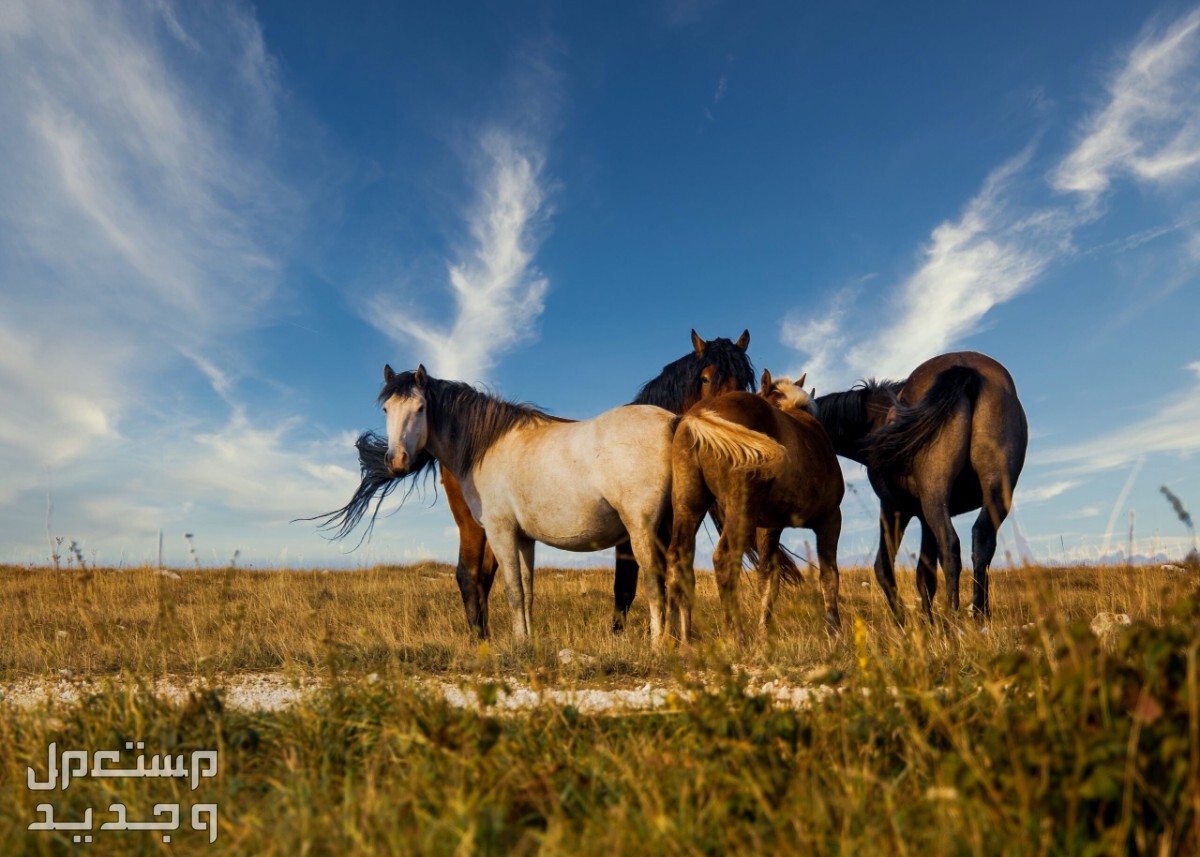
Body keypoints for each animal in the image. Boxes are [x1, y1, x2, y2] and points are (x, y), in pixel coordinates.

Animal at [667, 367, 844, 643]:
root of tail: (699, 415)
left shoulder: (769, 528)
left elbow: (768, 580)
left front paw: (763, 633)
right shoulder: (831, 520)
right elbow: (829, 576)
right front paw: (835, 632)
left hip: (688, 506)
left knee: (678, 559)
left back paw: (681, 639)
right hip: (739, 510)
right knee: (725, 560)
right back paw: (735, 636)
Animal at [820, 350, 1027, 619]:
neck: (877, 419)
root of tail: (965, 369)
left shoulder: (896, 508)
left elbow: (886, 568)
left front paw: (905, 621)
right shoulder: (922, 518)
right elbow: (924, 574)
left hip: (934, 497)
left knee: (950, 547)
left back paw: (952, 617)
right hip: (995, 493)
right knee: (982, 541)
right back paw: (980, 615)